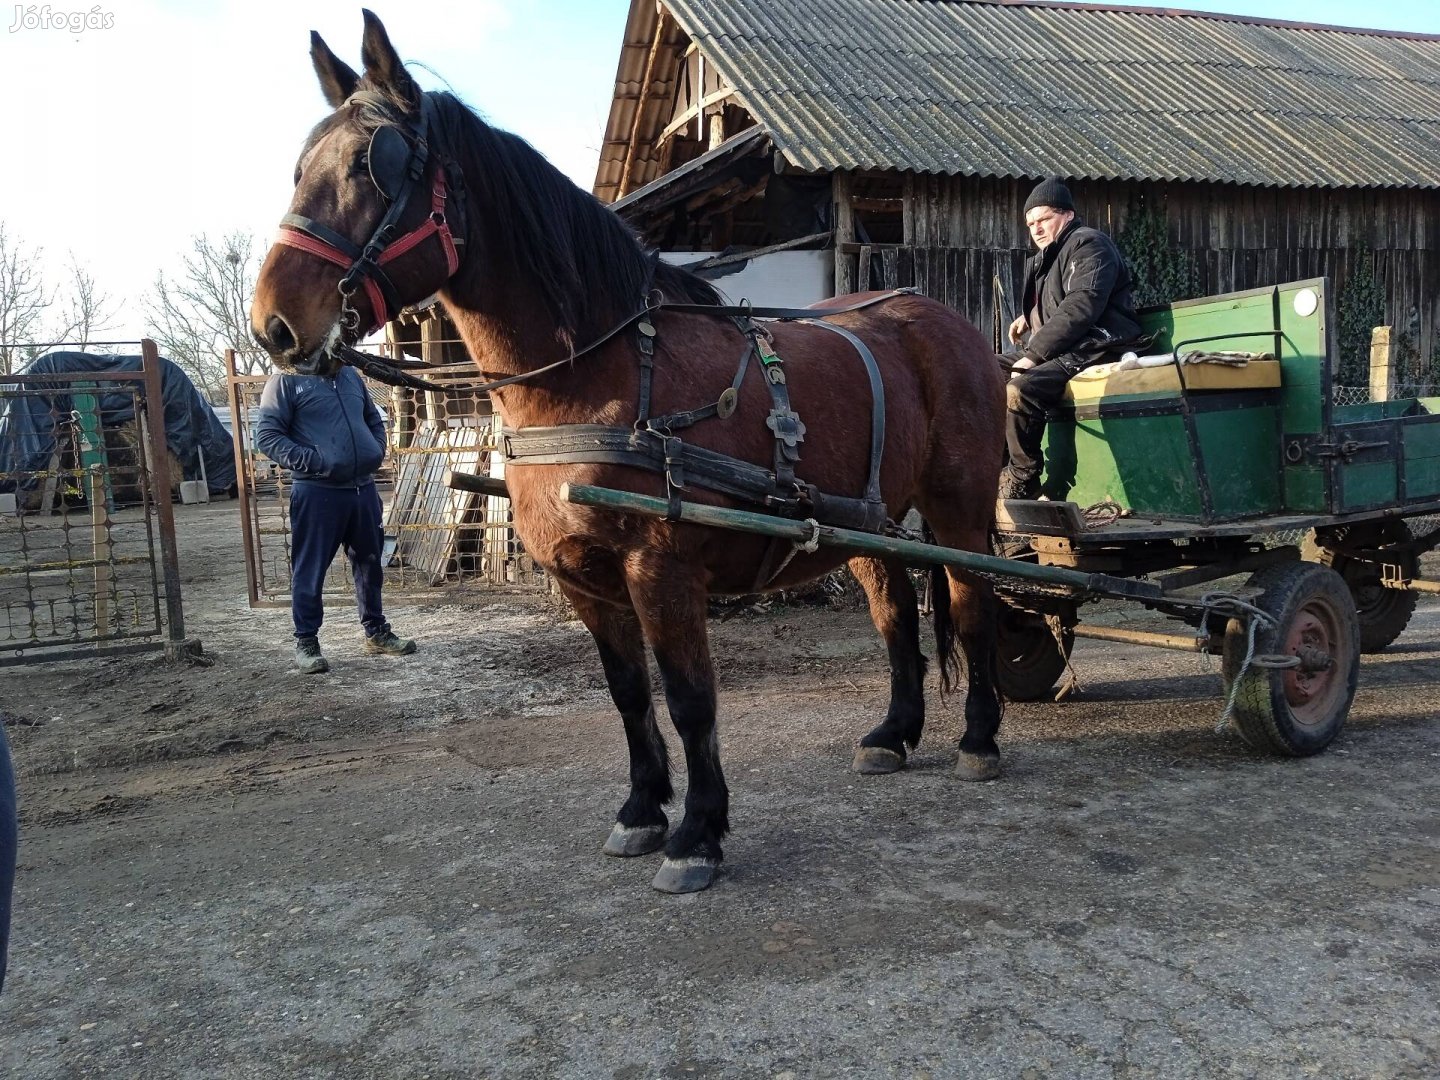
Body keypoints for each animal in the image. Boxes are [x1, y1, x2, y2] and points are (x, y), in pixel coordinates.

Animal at [247, 10, 1008, 898]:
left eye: (377, 165)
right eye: (301, 166)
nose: (274, 325)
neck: (599, 376)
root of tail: (945, 320)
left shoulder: (661, 569)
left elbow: (688, 700)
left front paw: (698, 835)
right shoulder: (584, 576)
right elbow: (628, 695)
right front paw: (644, 811)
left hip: (959, 506)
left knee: (973, 603)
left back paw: (980, 740)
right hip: (865, 522)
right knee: (894, 613)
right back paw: (893, 733)